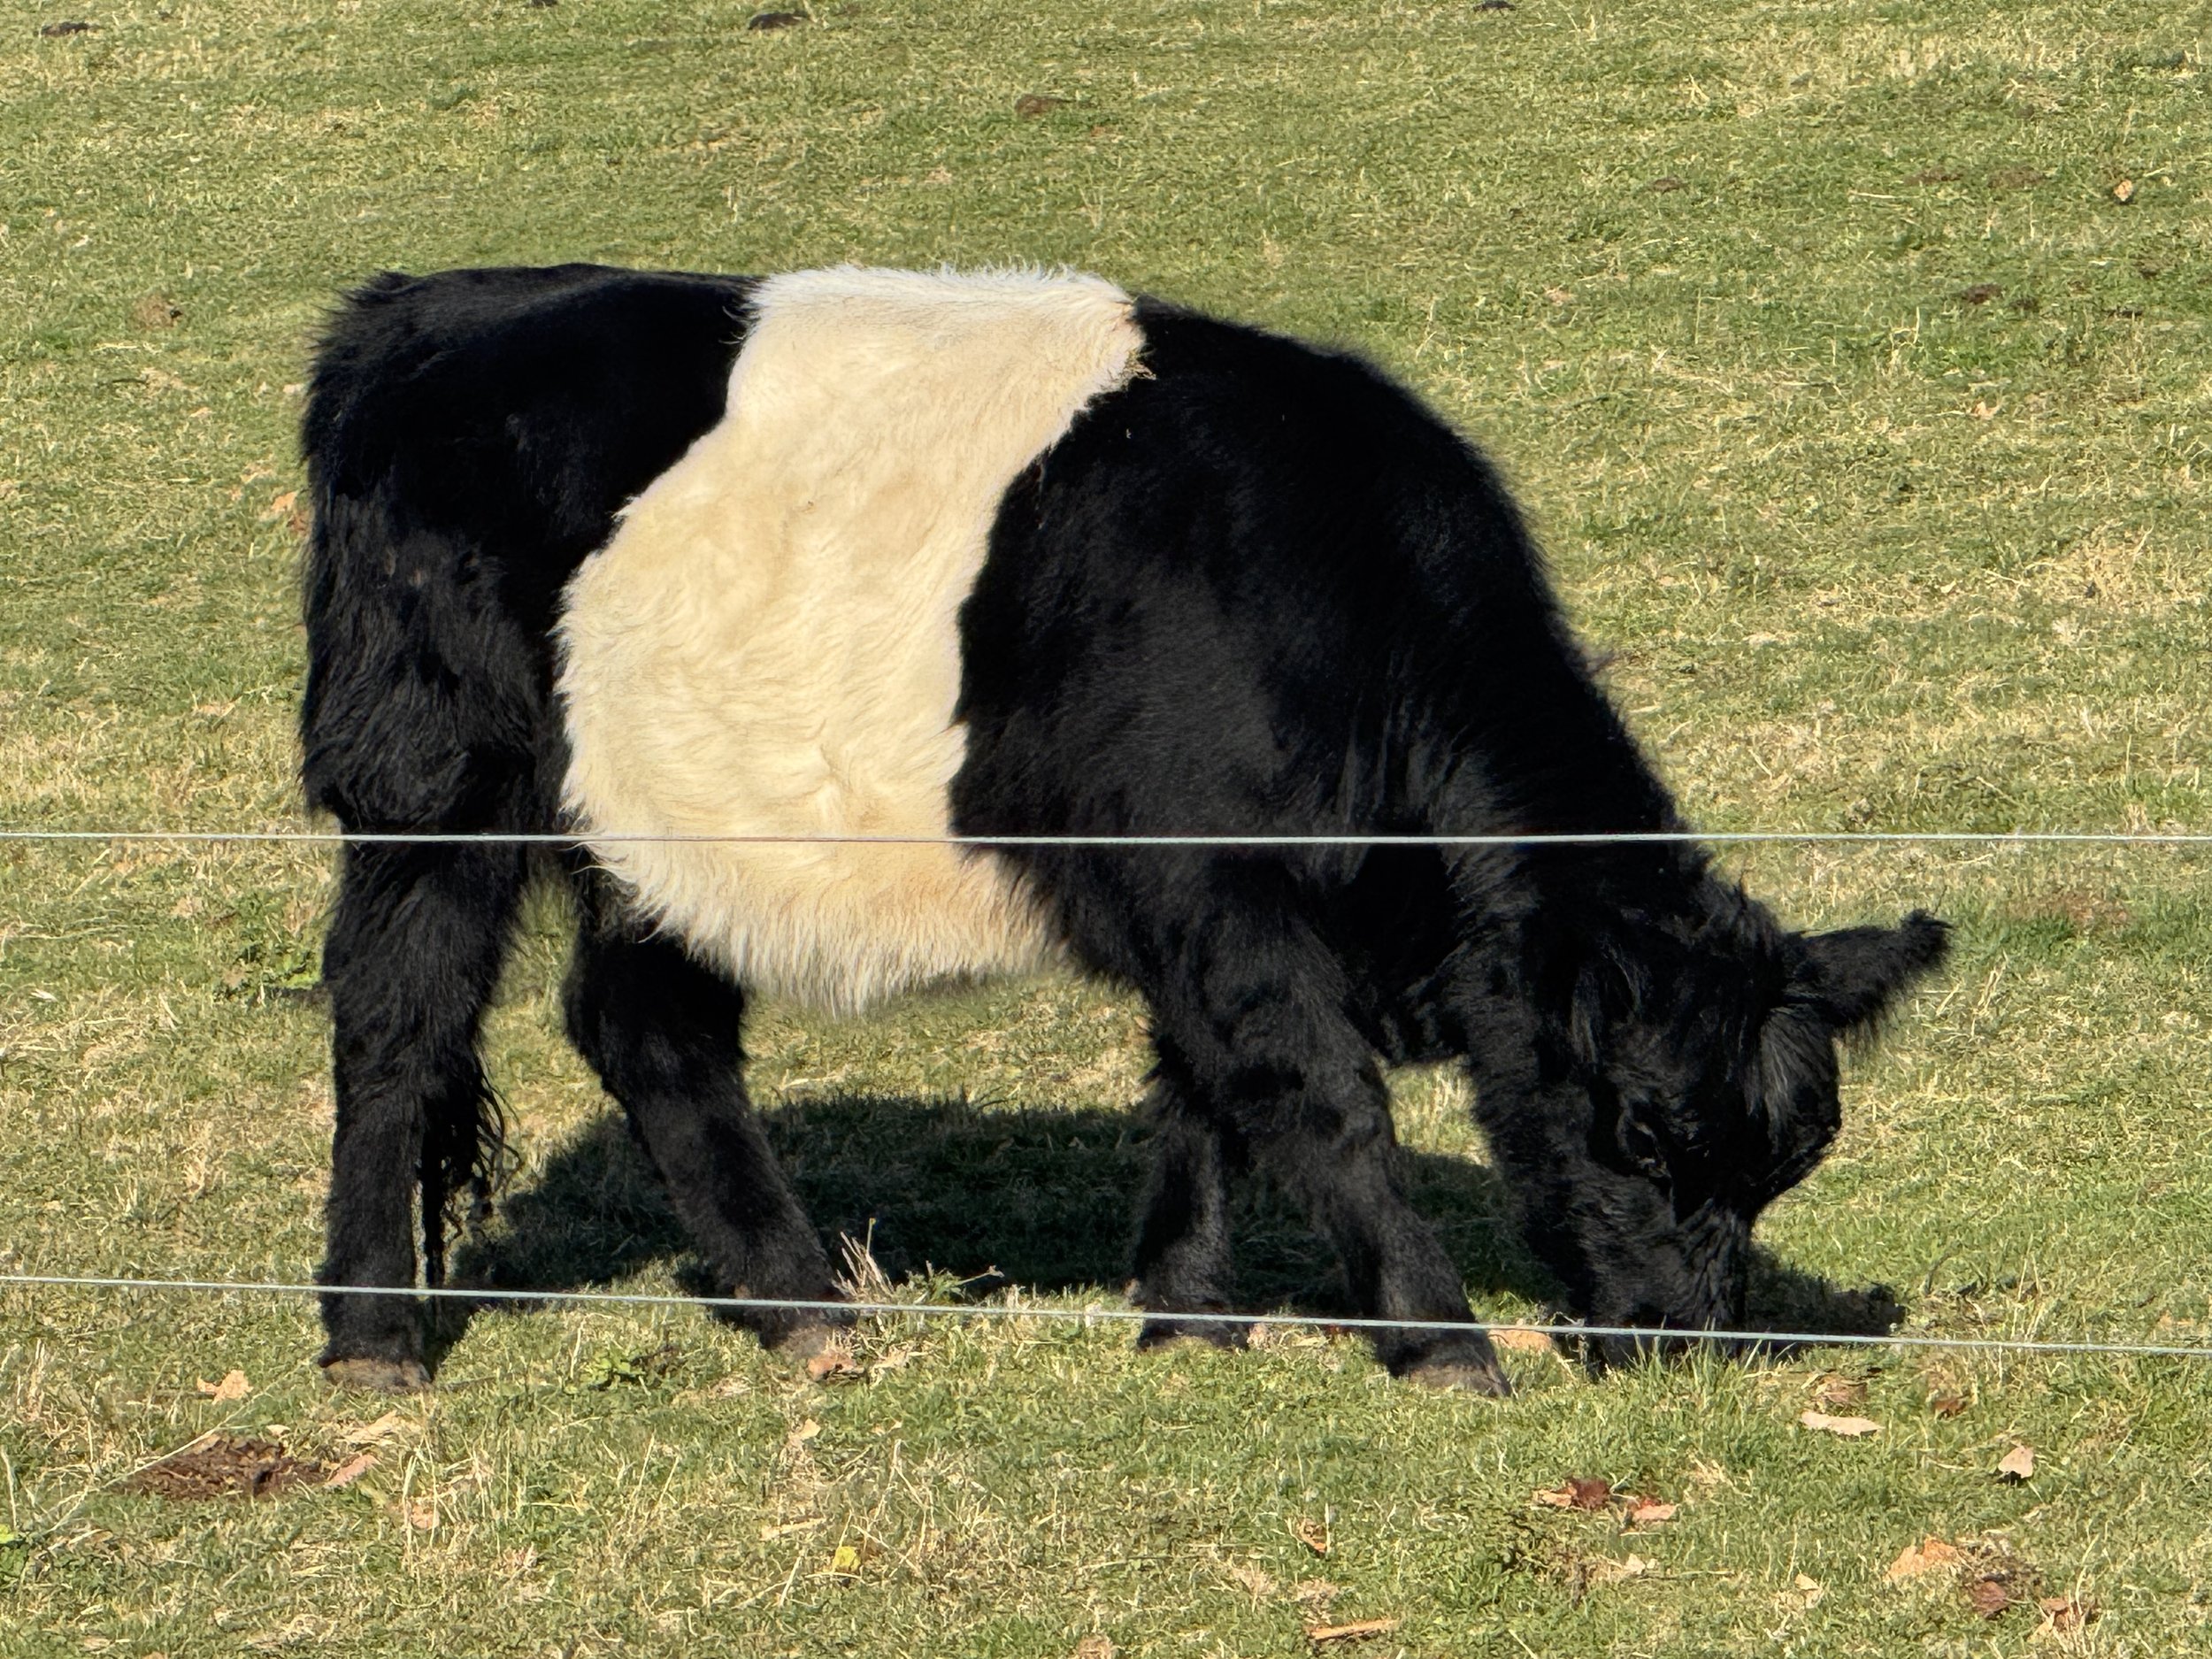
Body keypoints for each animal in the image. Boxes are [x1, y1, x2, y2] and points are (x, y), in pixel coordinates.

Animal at [299, 263, 1947, 1395]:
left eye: (1787, 1160)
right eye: (1647, 1127)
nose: (1685, 1339)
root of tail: (421, 311)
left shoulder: (1196, 904)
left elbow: (1204, 1097)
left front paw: (1189, 1317)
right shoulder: (1217, 889)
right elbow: (1318, 1097)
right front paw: (1438, 1337)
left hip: (672, 824)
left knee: (647, 1026)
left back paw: (811, 1312)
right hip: (432, 787)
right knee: (397, 1022)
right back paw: (375, 1332)